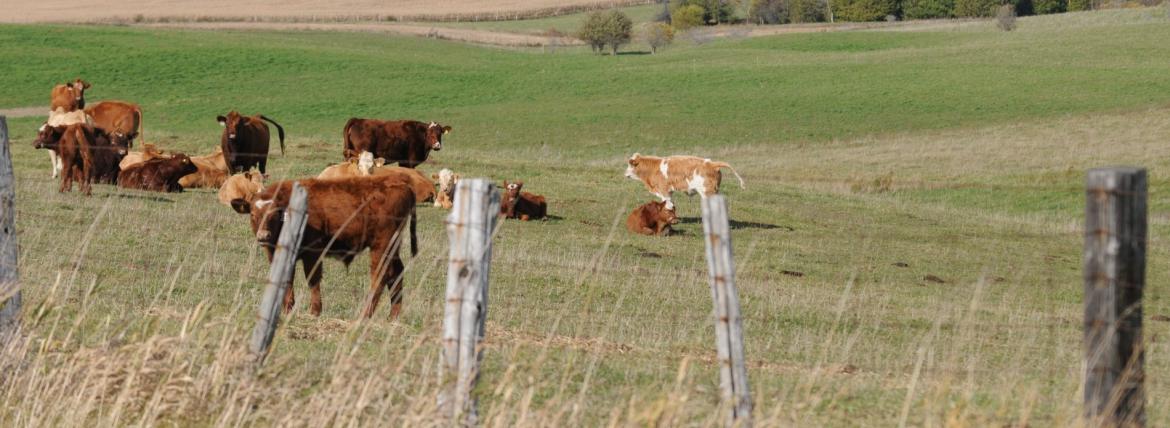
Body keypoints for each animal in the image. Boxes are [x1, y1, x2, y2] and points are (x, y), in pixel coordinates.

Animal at [229, 176, 418, 318]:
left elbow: (313, 280)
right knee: (396, 273)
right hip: (392, 247)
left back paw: (365, 315)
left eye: (275, 215)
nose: (263, 236)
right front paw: (287, 309)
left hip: (381, 246)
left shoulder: (312, 254)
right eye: (253, 214)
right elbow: (287, 280)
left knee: (380, 277)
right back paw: (393, 316)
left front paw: (315, 311)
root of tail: (403, 185)